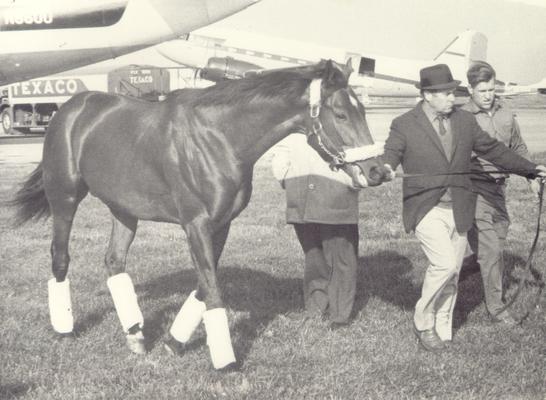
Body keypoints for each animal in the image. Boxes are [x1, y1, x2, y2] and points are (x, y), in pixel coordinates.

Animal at [9, 58, 392, 368]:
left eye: (362, 110)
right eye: (340, 114)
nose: (378, 171)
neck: (219, 138)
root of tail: (71, 108)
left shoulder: (221, 225)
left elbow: (203, 286)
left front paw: (173, 343)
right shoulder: (196, 224)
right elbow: (213, 290)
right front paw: (224, 361)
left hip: (124, 209)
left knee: (114, 262)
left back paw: (135, 333)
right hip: (65, 199)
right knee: (60, 258)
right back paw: (64, 329)